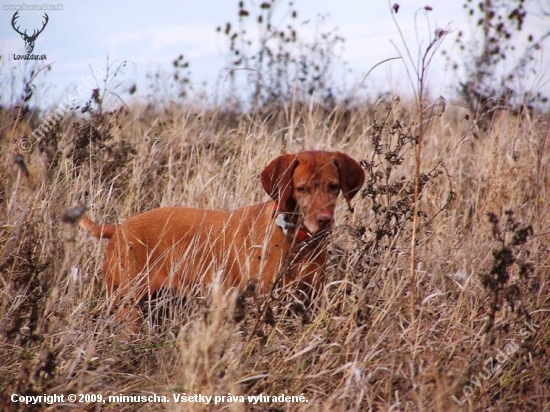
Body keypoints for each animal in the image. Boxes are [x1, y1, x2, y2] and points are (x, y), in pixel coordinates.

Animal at [80, 150, 366, 328]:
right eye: (302, 188)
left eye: (333, 186)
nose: (325, 221)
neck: (295, 236)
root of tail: (118, 228)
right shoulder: (264, 302)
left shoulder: (309, 300)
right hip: (128, 307)